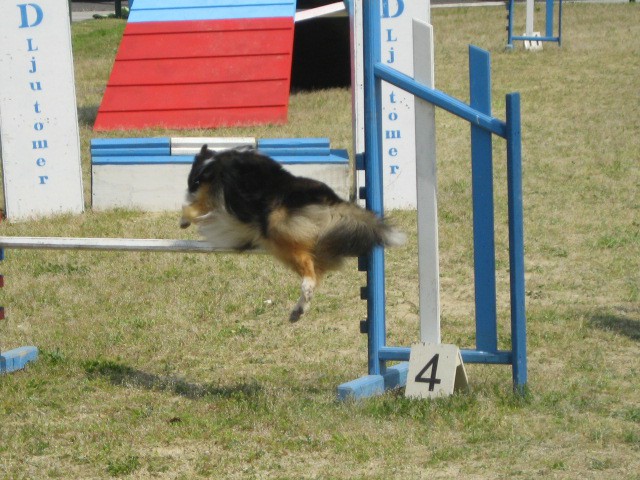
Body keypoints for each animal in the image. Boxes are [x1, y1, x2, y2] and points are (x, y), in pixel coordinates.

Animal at [179, 144, 404, 320]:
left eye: (193, 182)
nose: (191, 187)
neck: (212, 164)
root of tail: (330, 201)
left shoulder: (212, 197)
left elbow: (191, 209)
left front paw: (185, 219)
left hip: (279, 232)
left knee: (309, 270)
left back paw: (304, 292)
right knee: (315, 271)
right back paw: (299, 310)